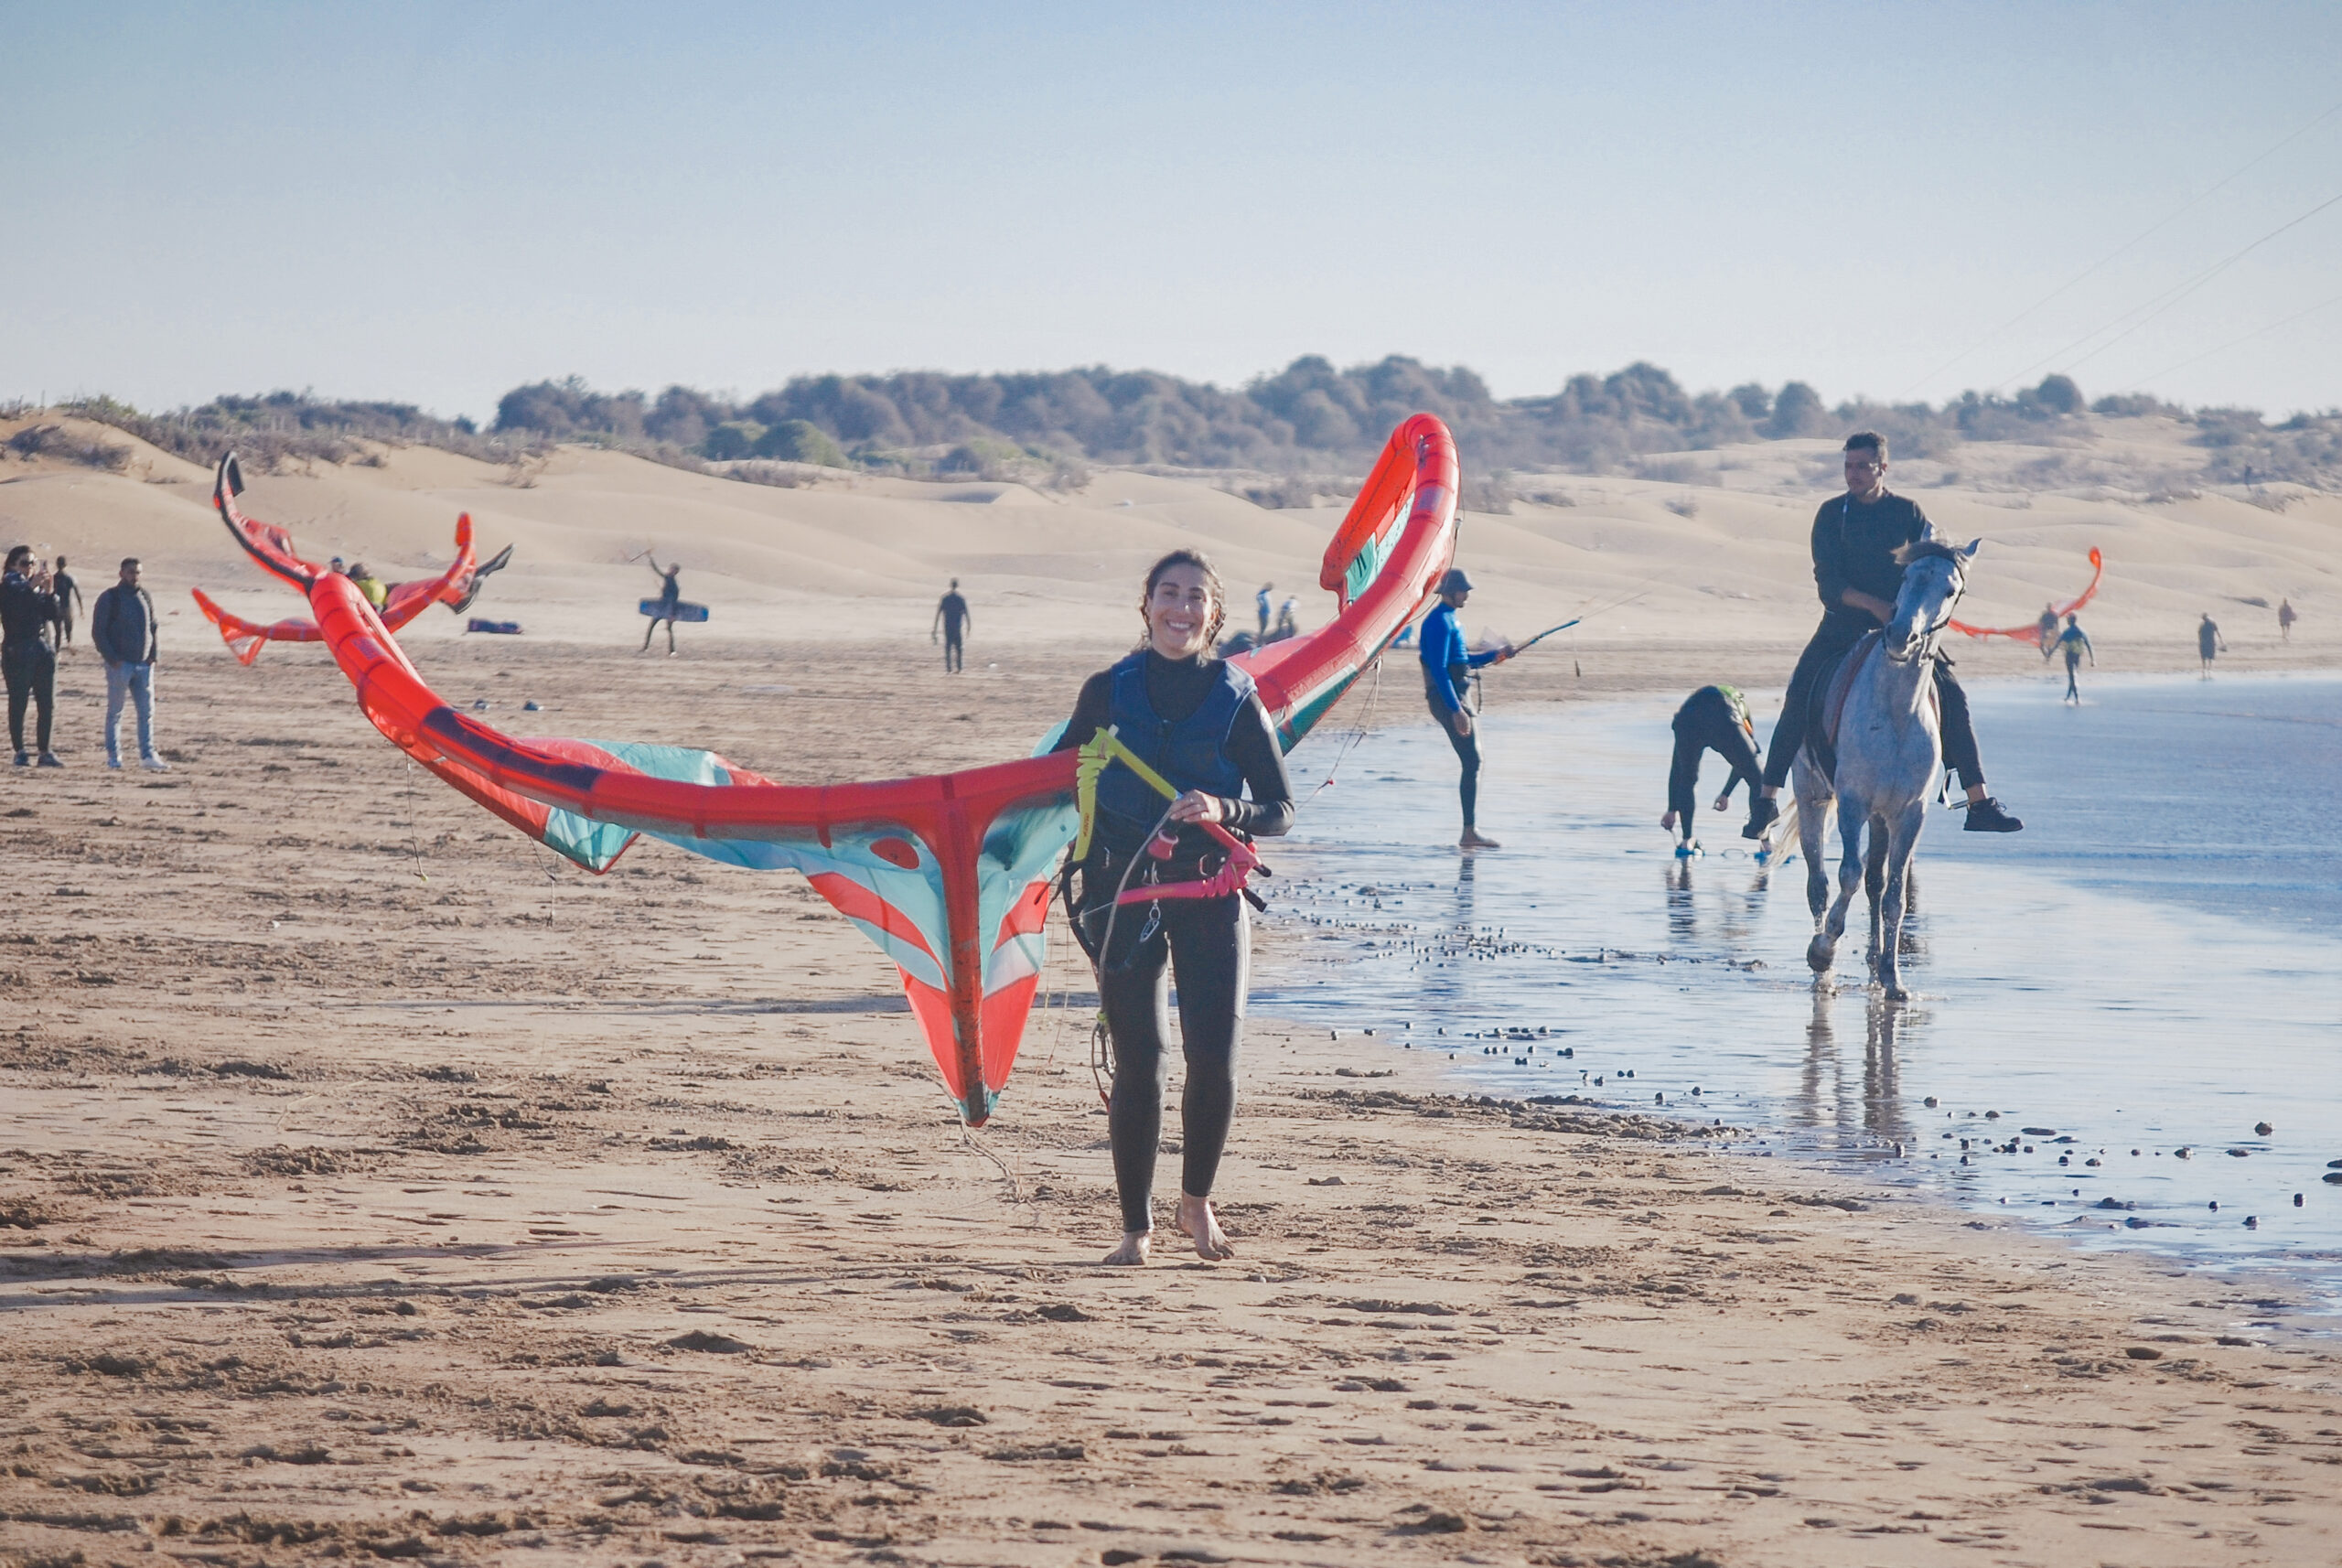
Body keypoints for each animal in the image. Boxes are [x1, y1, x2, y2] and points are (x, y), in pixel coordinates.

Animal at [1789, 540, 1976, 1001]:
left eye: (1950, 590)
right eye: (1905, 577)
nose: (1899, 637)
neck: (1897, 712)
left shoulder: (1909, 813)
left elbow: (1894, 895)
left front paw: (1894, 978)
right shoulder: (1852, 803)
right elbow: (1848, 876)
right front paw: (1823, 950)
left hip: (1880, 818)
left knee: (1876, 882)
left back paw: (1876, 964)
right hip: (1812, 796)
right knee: (1819, 883)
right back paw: (1822, 968)